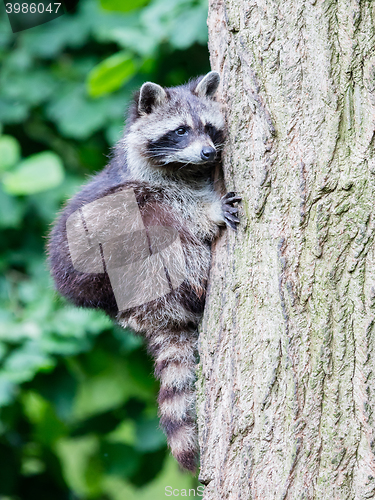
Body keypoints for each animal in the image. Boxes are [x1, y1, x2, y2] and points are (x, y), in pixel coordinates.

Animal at [47, 71, 241, 472]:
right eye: (180, 131)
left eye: (209, 128)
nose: (209, 153)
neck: (186, 169)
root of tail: (148, 315)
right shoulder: (146, 182)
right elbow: (173, 208)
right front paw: (209, 212)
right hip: (130, 273)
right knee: (151, 224)